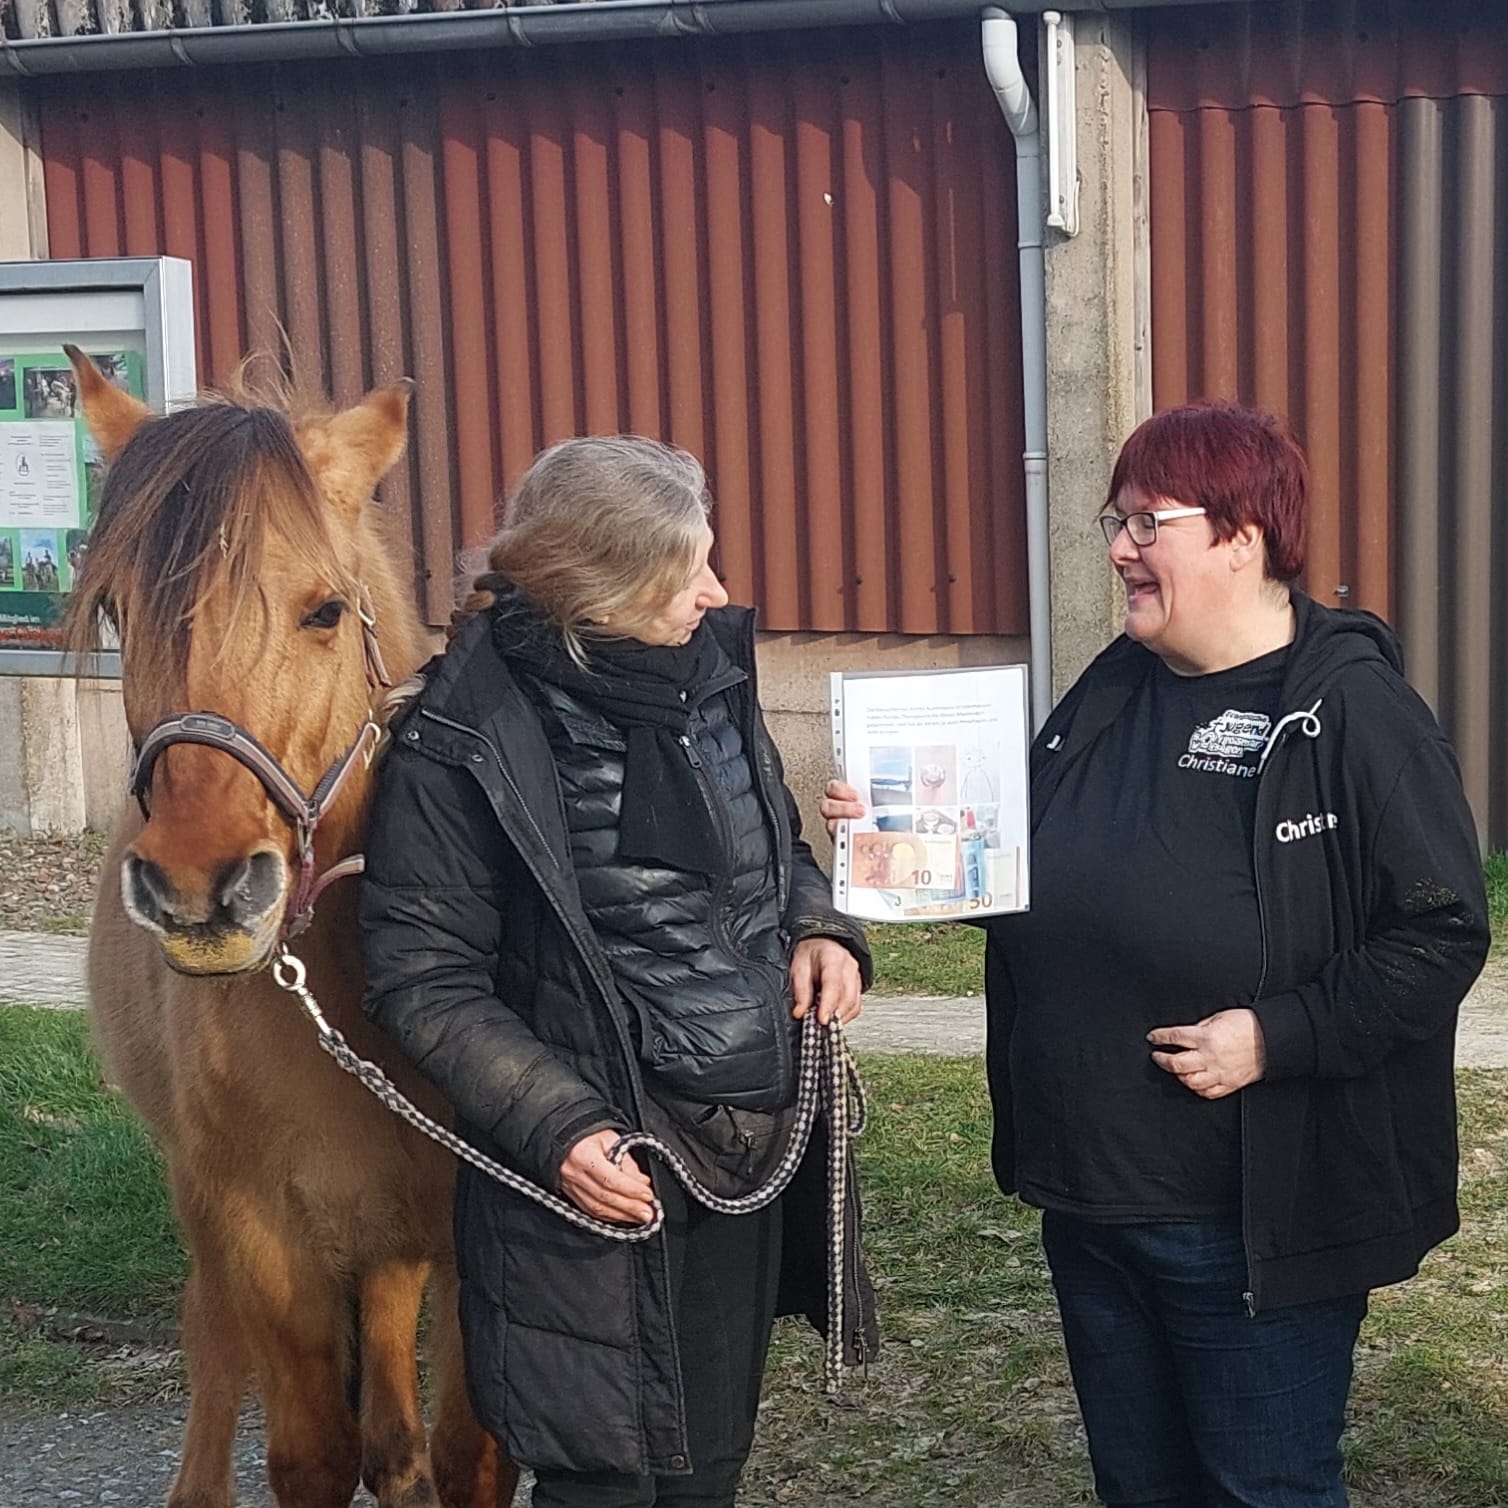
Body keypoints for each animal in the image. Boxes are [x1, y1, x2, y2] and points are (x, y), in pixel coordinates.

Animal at [64, 346, 521, 1508]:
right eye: (119, 610)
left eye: (323, 612)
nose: (201, 888)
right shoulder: (260, 1233)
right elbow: (310, 1454)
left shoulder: (476, 1238)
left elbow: (468, 1452)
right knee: (214, 1349)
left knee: (396, 1428)